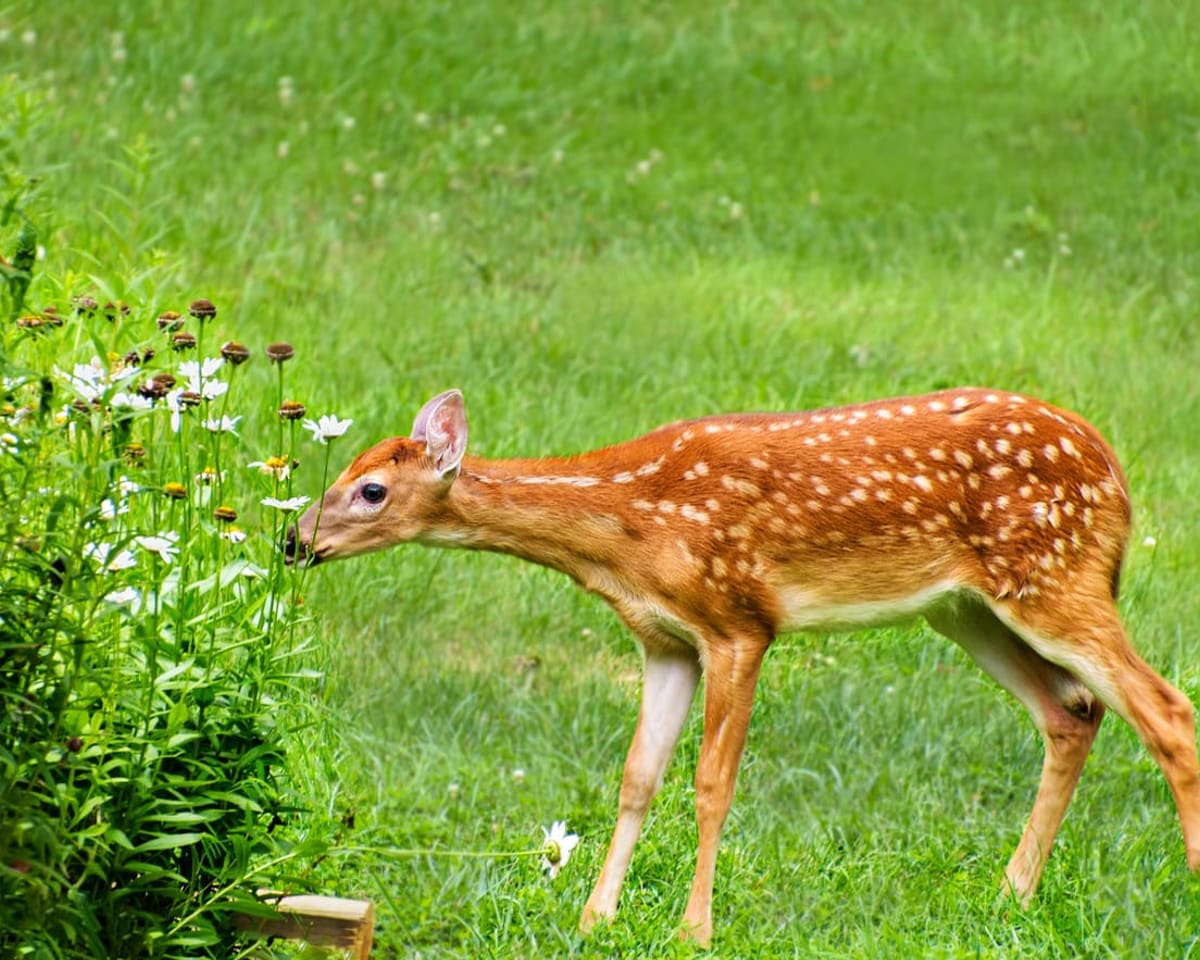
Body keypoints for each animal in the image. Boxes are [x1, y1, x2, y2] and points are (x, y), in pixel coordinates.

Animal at [285, 387, 1200, 948]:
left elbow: (711, 784)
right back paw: (1010, 895)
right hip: (968, 608)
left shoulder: (738, 623)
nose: (294, 541)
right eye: (344, 472)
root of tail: (1116, 474)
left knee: (1166, 710)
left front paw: (693, 930)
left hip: (1056, 575)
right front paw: (595, 918)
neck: (627, 529)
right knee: (1072, 713)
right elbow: (638, 776)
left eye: (369, 490)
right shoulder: (663, 640)